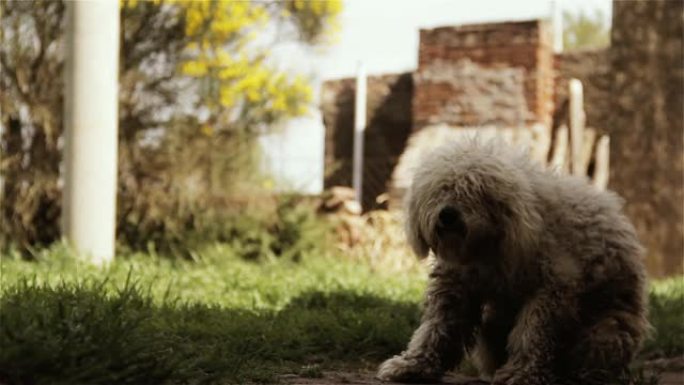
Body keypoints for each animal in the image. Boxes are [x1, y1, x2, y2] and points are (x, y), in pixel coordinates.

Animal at [376, 140, 648, 384]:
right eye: (440, 189)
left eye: (474, 191)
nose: (448, 215)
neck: (487, 249)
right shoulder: (455, 288)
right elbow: (437, 329)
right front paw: (412, 365)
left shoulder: (551, 290)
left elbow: (531, 333)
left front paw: (522, 373)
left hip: (606, 331)